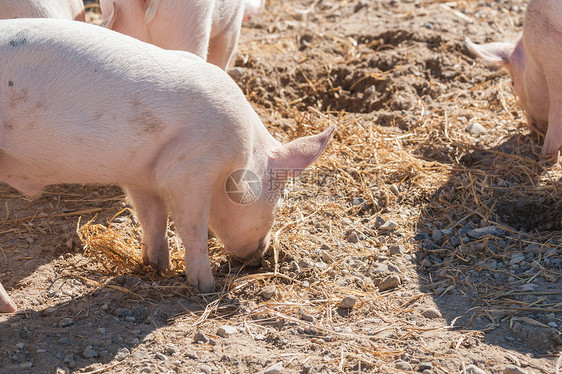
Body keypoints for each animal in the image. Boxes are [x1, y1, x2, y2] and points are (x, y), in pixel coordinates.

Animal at [0, 19, 332, 312]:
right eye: (279, 200)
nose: (258, 258)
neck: (244, 153)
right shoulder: (190, 171)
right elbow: (192, 228)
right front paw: (206, 287)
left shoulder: (142, 175)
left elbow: (152, 218)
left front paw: (157, 267)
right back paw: (11, 308)